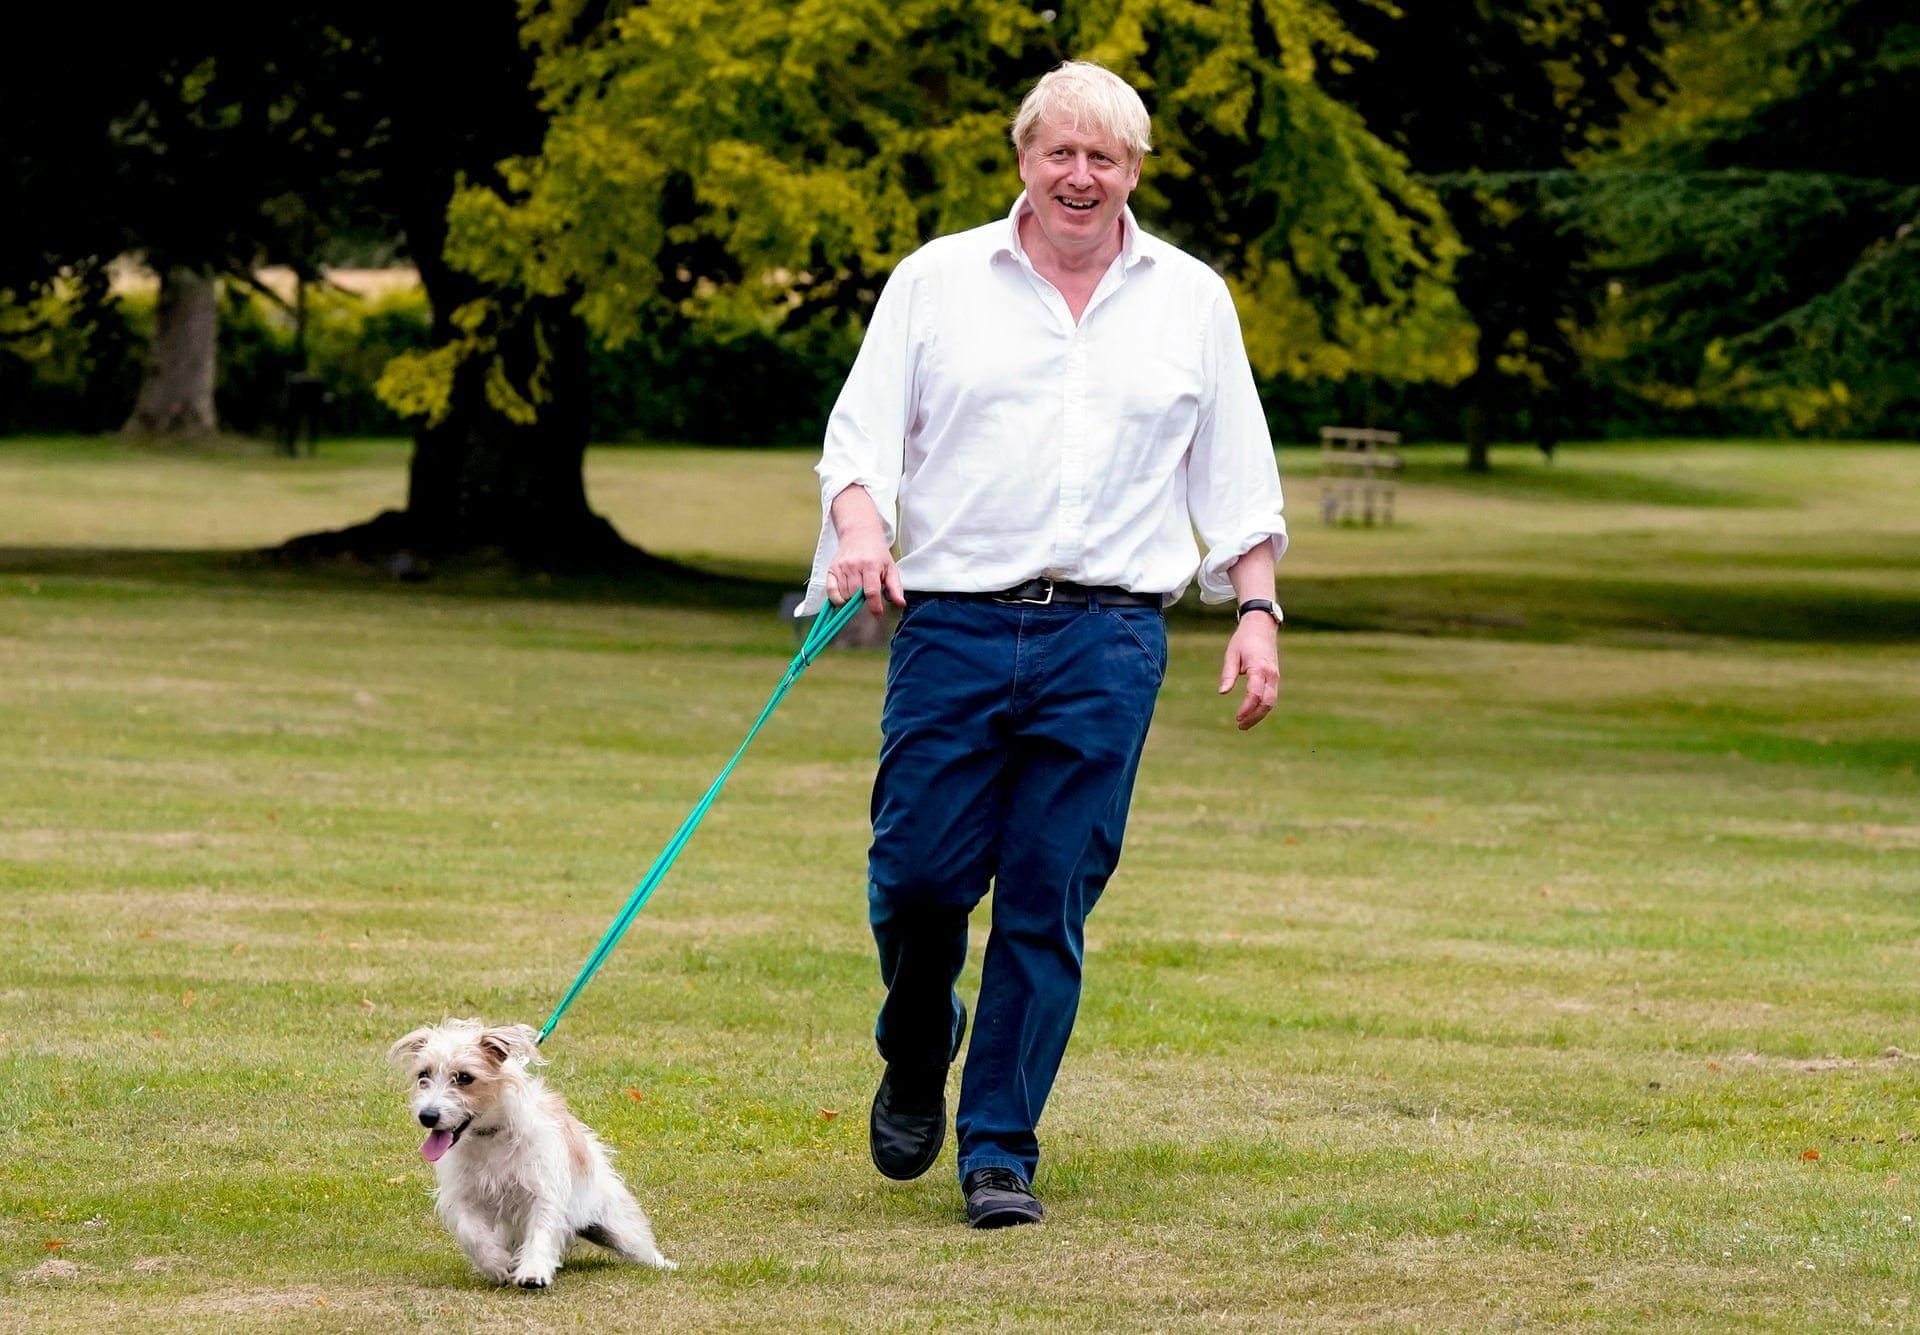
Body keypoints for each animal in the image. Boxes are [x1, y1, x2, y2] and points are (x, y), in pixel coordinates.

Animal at [385, 1021, 679, 1290]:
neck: (490, 1137)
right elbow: (473, 1234)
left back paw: (662, 1264)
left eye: (465, 1077)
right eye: (423, 1074)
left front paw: (533, 1271)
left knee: (638, 1245)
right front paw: (496, 1263)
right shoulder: (463, 1198)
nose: (427, 1115)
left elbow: (541, 1231)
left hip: (617, 1224)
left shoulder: (543, 1192)